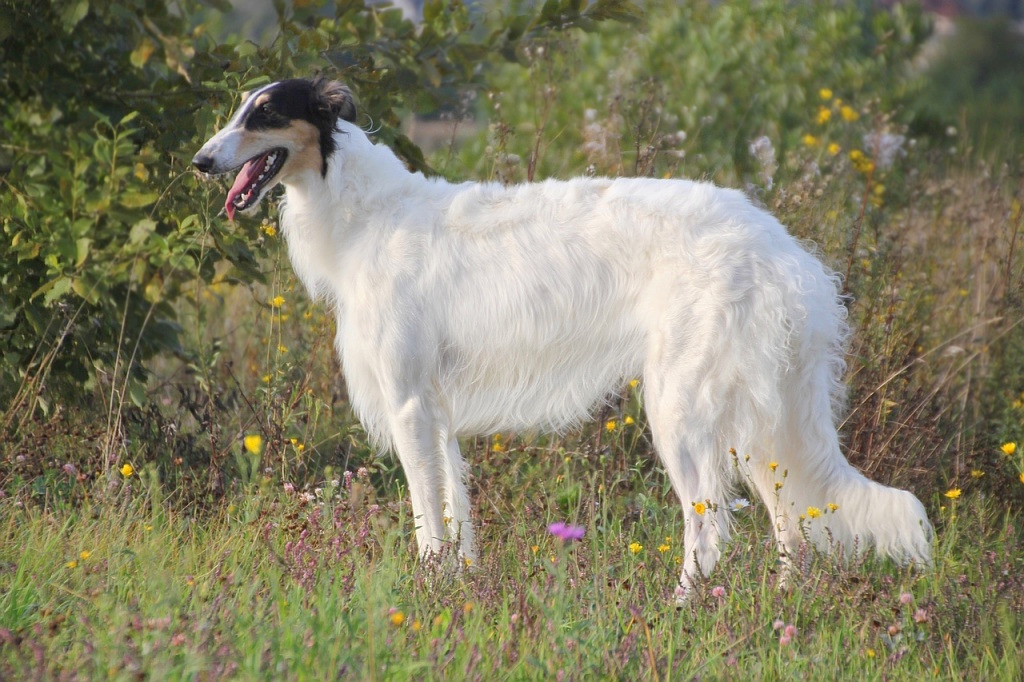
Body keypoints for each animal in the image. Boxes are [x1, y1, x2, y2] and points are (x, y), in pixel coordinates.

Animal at [193, 75, 937, 593]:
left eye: (264, 113)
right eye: (237, 107)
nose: (201, 161)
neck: (366, 216)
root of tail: (785, 252)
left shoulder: (408, 406)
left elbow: (427, 519)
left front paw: (428, 590)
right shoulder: (437, 413)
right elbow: (457, 515)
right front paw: (463, 588)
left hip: (683, 409)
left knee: (710, 527)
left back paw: (680, 608)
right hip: (757, 416)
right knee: (792, 528)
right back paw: (780, 609)